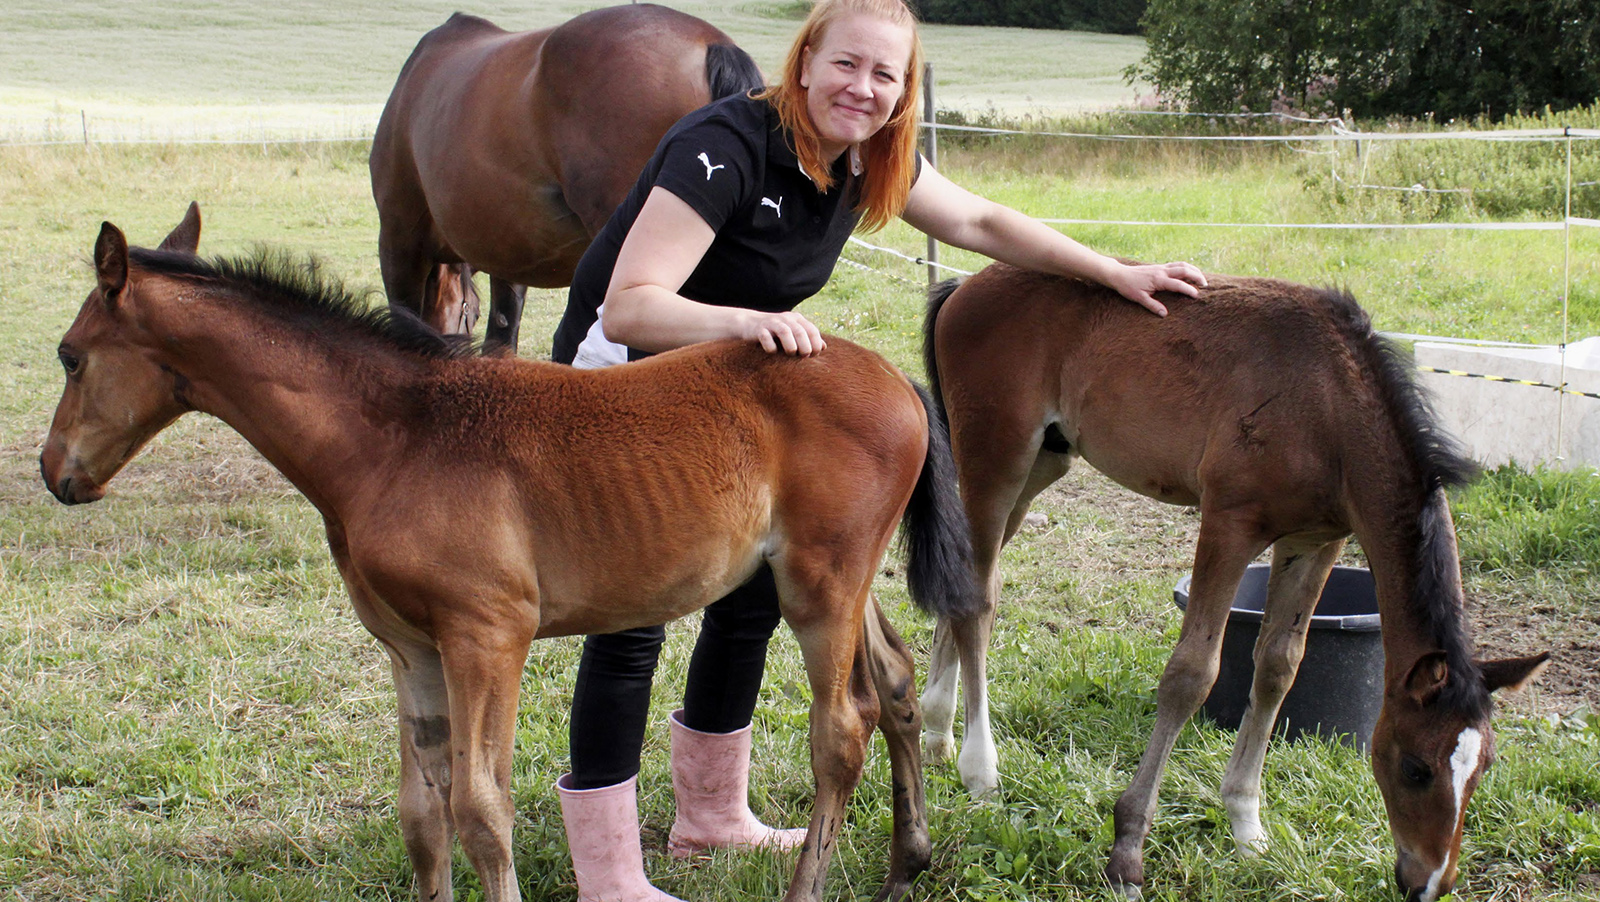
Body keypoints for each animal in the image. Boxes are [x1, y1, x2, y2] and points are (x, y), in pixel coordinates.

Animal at [40, 202, 972, 902]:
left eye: (70, 355)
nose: (57, 474)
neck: (396, 440)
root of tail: (897, 380)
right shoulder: (409, 645)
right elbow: (423, 814)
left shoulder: (486, 635)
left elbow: (480, 810)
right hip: (832, 576)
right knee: (892, 688)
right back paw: (905, 865)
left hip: (820, 584)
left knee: (841, 729)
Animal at [928, 262, 1548, 902]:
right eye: (1415, 767)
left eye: (1485, 767)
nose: (1429, 883)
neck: (1328, 405)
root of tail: (964, 287)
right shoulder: (1230, 523)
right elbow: (1190, 675)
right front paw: (1127, 851)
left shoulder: (1315, 540)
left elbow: (1278, 666)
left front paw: (1247, 825)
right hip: (996, 460)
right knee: (978, 598)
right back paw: (979, 769)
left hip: (1042, 466)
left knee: (967, 581)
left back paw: (937, 732)